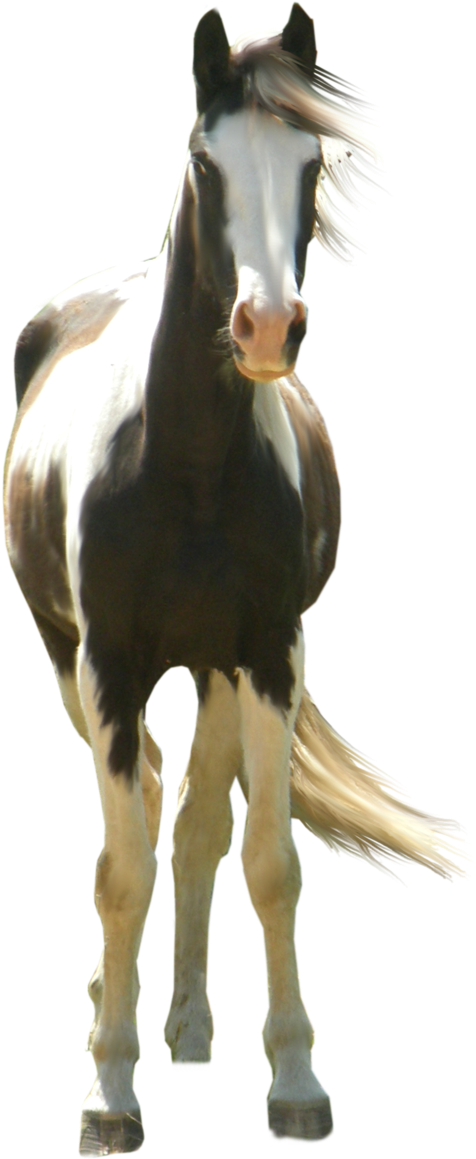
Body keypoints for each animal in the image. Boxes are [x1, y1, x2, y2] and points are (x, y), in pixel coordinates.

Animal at [4, 5, 472, 1154]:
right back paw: (119, 1017)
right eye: (208, 165)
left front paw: (295, 1081)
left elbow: (265, 861)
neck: (188, 462)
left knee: (194, 823)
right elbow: (119, 869)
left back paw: (185, 1025)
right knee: (143, 811)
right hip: (71, 662)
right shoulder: (110, 668)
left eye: (309, 164)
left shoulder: (265, 655)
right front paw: (108, 1094)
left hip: (214, 670)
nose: (267, 330)